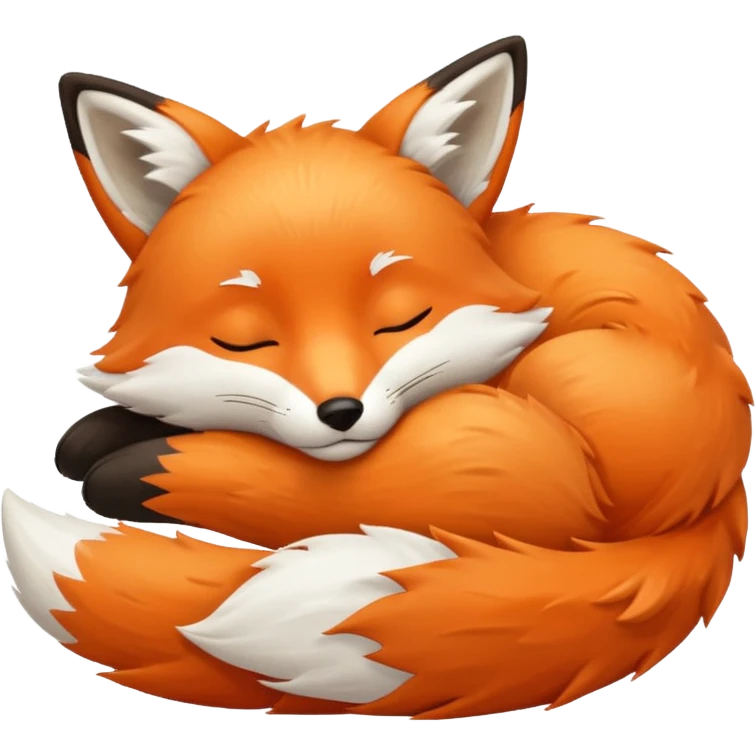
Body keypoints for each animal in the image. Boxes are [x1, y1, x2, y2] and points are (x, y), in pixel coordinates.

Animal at [1, 36, 753, 719]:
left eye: (401, 319)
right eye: (246, 337)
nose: (341, 412)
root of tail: (714, 489)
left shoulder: (503, 452)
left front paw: (139, 457)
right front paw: (111, 428)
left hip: (561, 427)